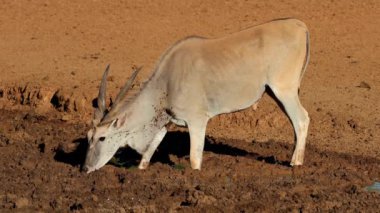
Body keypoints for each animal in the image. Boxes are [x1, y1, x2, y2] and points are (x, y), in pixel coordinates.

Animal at [82, 17, 308, 173]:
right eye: (88, 137)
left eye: (101, 138)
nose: (85, 168)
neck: (168, 80)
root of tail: (299, 25)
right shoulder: (166, 121)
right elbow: (149, 150)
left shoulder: (197, 121)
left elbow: (194, 159)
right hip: (276, 93)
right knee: (296, 123)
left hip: (284, 90)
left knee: (302, 119)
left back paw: (296, 163)